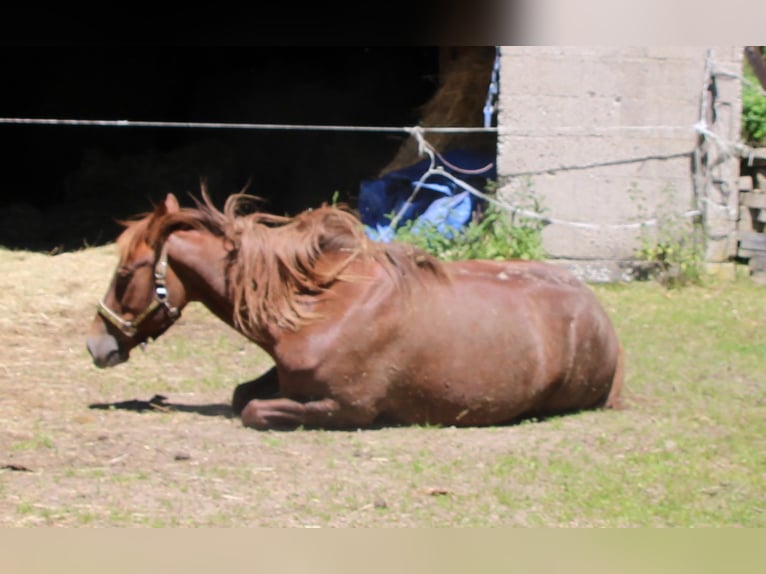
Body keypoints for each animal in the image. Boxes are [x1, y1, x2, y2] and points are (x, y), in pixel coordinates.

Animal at [85, 191, 624, 430]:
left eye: (124, 274)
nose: (95, 345)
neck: (323, 305)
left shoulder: (347, 409)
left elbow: (253, 410)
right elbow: (242, 395)